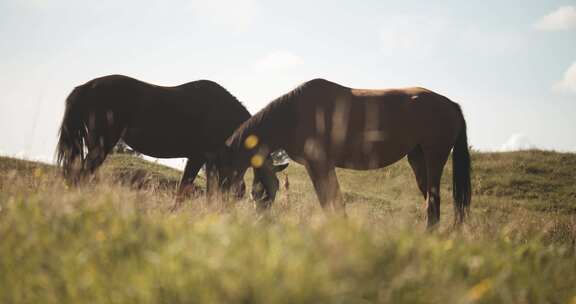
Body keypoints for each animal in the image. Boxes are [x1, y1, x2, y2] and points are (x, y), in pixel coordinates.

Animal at [55, 74, 268, 201]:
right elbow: (184, 188)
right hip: (101, 145)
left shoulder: (211, 161)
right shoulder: (199, 157)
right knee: (82, 174)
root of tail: (85, 87)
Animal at [214, 78, 470, 228]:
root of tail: (452, 105)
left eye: (258, 193)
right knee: (430, 199)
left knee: (433, 201)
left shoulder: (320, 165)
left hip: (434, 156)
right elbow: (329, 199)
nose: (261, 221)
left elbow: (332, 200)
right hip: (417, 159)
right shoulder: (317, 166)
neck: (293, 115)